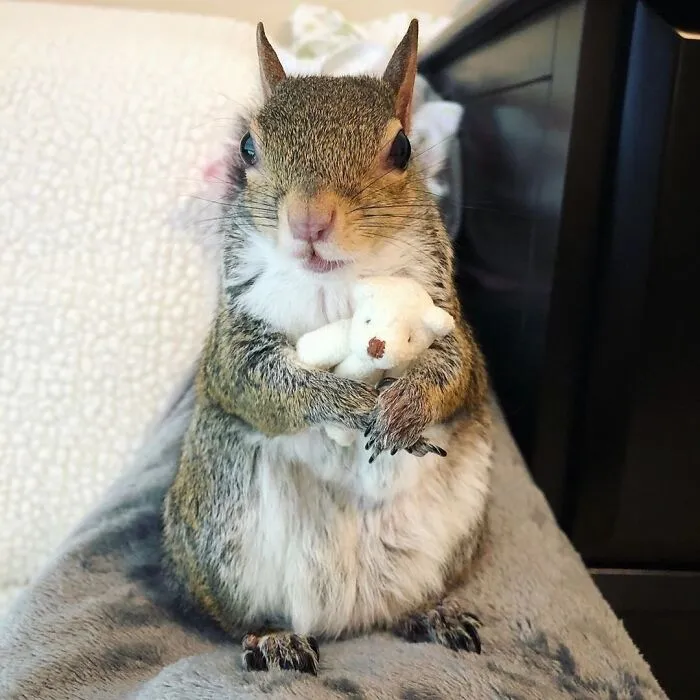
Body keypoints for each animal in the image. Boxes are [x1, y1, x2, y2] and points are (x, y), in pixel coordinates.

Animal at [162, 19, 493, 676]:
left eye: (402, 149)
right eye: (247, 148)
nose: (309, 221)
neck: (336, 285)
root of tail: (350, 616)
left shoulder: (448, 317)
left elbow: (455, 371)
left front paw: (407, 404)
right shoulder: (233, 342)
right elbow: (262, 383)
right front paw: (349, 404)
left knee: (408, 603)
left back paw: (432, 613)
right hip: (219, 519)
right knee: (238, 615)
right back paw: (271, 637)